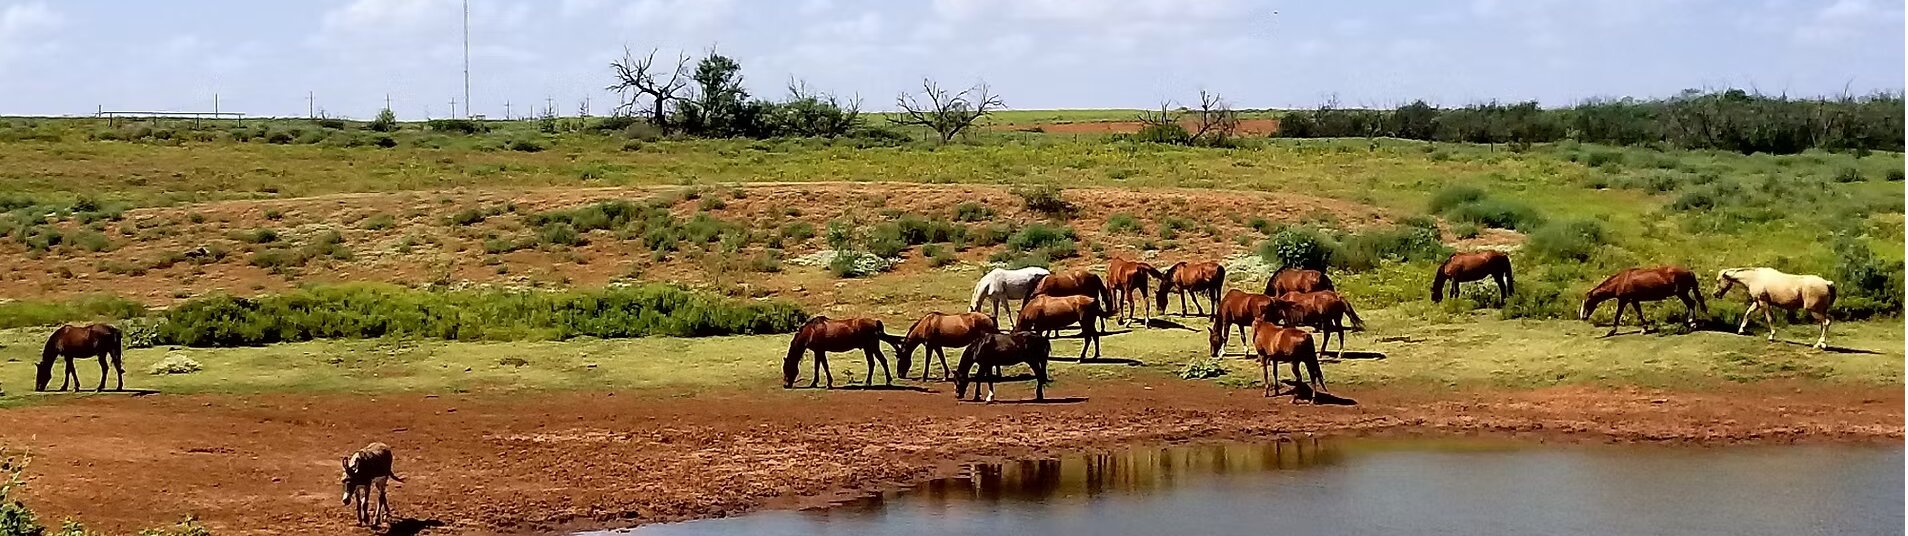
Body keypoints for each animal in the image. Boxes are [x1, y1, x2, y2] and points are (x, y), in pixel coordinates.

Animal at [1579, 266, 1708, 336]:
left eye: (1588, 301)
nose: (1582, 317)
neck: (1621, 281)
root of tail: (1690, 272)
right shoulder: (1634, 300)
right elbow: (1639, 313)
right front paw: (1644, 328)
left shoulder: (1624, 300)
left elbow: (1617, 315)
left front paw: (1611, 331)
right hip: (1682, 293)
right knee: (1691, 304)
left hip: (1681, 293)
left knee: (1691, 303)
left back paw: (1692, 324)